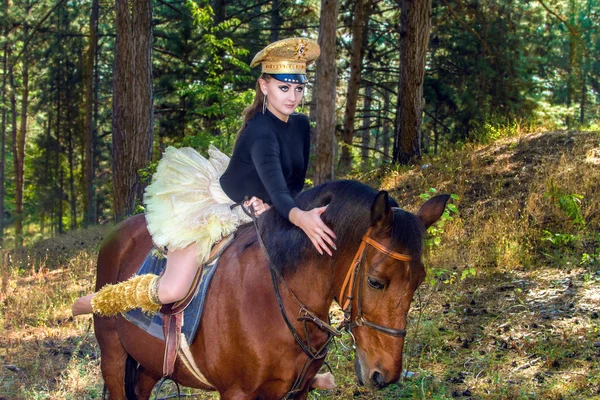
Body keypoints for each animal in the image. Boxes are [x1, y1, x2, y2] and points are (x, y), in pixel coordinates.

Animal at [94, 180, 448, 398]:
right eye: (376, 281)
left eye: (419, 281)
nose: (384, 374)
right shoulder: (237, 393)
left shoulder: (297, 391)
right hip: (113, 355)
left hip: (149, 362)